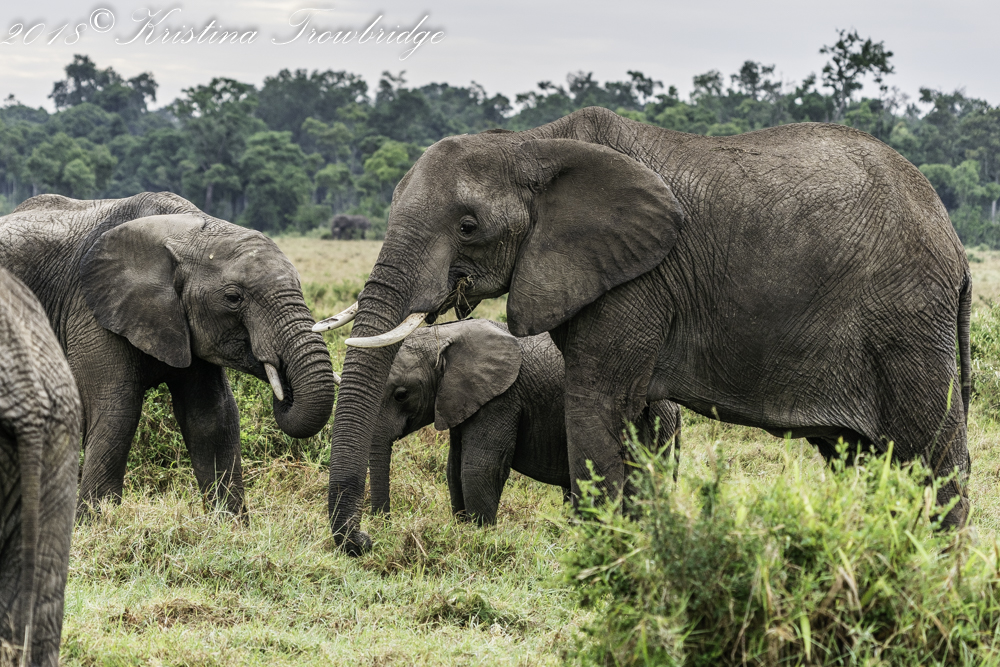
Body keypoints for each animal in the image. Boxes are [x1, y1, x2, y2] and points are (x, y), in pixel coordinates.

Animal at [0, 192, 338, 518]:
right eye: (233, 298)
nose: (284, 390)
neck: (185, 231)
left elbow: (212, 416)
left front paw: (229, 525)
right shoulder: (92, 310)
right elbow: (117, 411)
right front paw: (97, 521)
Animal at [351, 318, 681, 526]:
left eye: (401, 395)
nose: (381, 526)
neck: (445, 334)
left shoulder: (502, 398)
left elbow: (479, 467)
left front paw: (479, 535)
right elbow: (453, 467)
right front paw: (461, 530)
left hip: (652, 426)